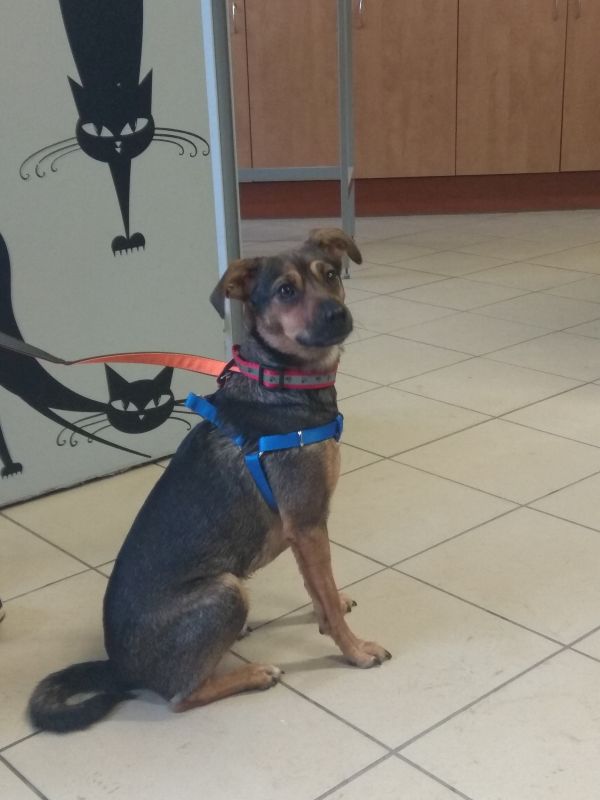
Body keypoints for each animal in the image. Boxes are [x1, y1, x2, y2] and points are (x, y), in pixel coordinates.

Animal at [28, 228, 391, 732]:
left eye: (332, 275)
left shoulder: (305, 530)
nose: (337, 314)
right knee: (181, 697)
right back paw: (253, 673)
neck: (280, 383)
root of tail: (118, 667)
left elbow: (320, 593)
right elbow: (328, 600)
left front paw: (329, 611)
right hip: (225, 590)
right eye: (286, 291)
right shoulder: (307, 524)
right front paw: (355, 650)